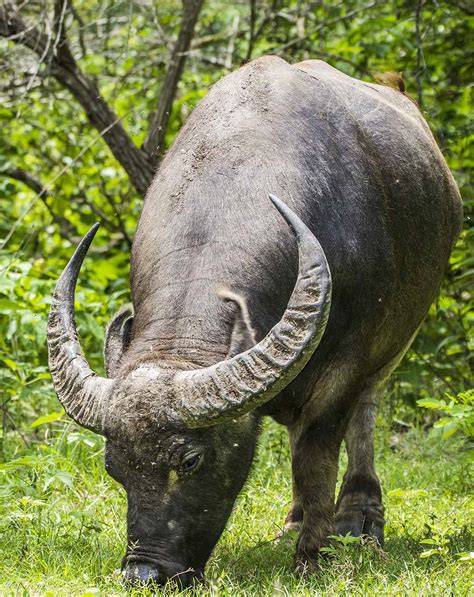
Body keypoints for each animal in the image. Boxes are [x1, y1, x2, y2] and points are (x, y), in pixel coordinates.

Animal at [46, 57, 462, 588]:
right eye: (114, 468)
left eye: (190, 460)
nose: (144, 573)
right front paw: (304, 535)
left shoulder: (346, 366)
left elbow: (316, 457)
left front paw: (312, 558)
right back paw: (296, 521)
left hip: (396, 340)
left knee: (364, 413)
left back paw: (358, 519)